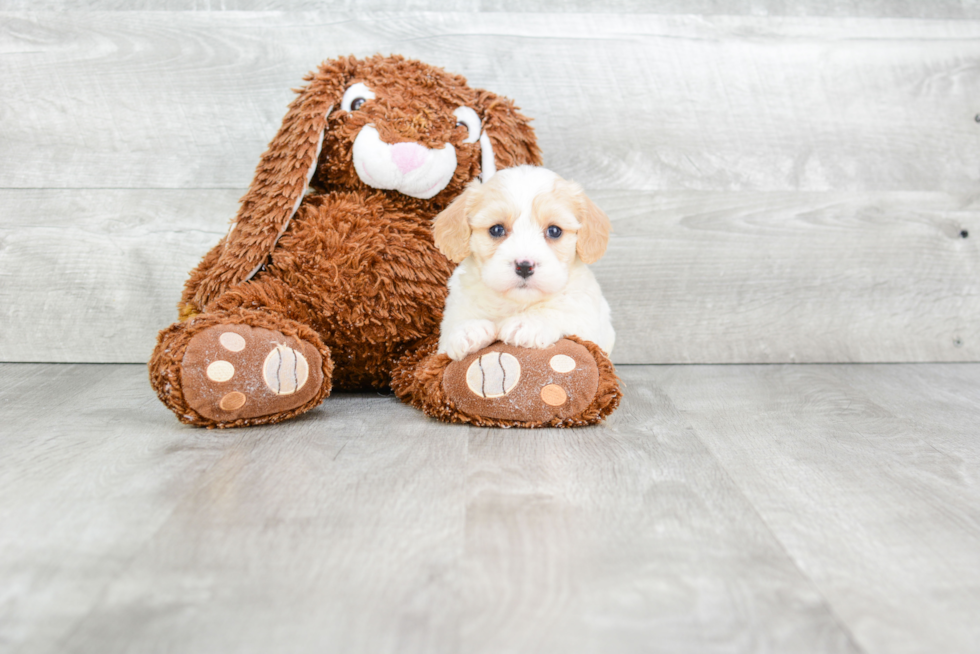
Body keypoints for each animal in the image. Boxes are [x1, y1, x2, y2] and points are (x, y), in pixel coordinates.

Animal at [430, 167, 612, 364]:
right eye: (497, 229)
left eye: (554, 231)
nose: (524, 266)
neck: (516, 303)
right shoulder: (452, 316)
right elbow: (455, 325)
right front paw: (468, 330)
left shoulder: (586, 322)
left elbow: (560, 313)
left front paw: (528, 323)